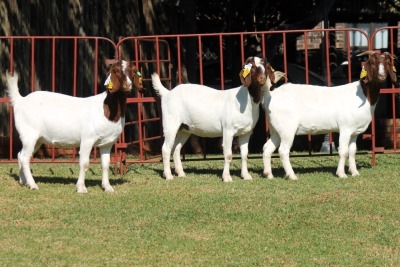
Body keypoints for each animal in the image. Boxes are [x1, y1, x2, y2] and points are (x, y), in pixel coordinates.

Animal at [6, 60, 144, 194]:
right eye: (116, 71)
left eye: (133, 71)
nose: (127, 85)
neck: (106, 109)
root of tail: (20, 100)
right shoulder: (87, 139)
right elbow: (84, 163)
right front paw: (81, 188)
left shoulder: (107, 143)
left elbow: (105, 164)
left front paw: (107, 187)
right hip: (29, 134)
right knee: (24, 157)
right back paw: (33, 184)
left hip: (38, 139)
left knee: (21, 155)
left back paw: (23, 181)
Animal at [264, 51, 398, 181]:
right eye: (373, 63)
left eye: (387, 62)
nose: (382, 76)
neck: (363, 95)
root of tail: (272, 95)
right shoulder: (345, 129)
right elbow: (343, 151)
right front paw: (341, 174)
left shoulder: (354, 132)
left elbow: (352, 151)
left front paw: (354, 173)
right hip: (287, 129)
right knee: (283, 151)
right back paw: (292, 176)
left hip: (276, 129)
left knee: (267, 148)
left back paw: (268, 175)